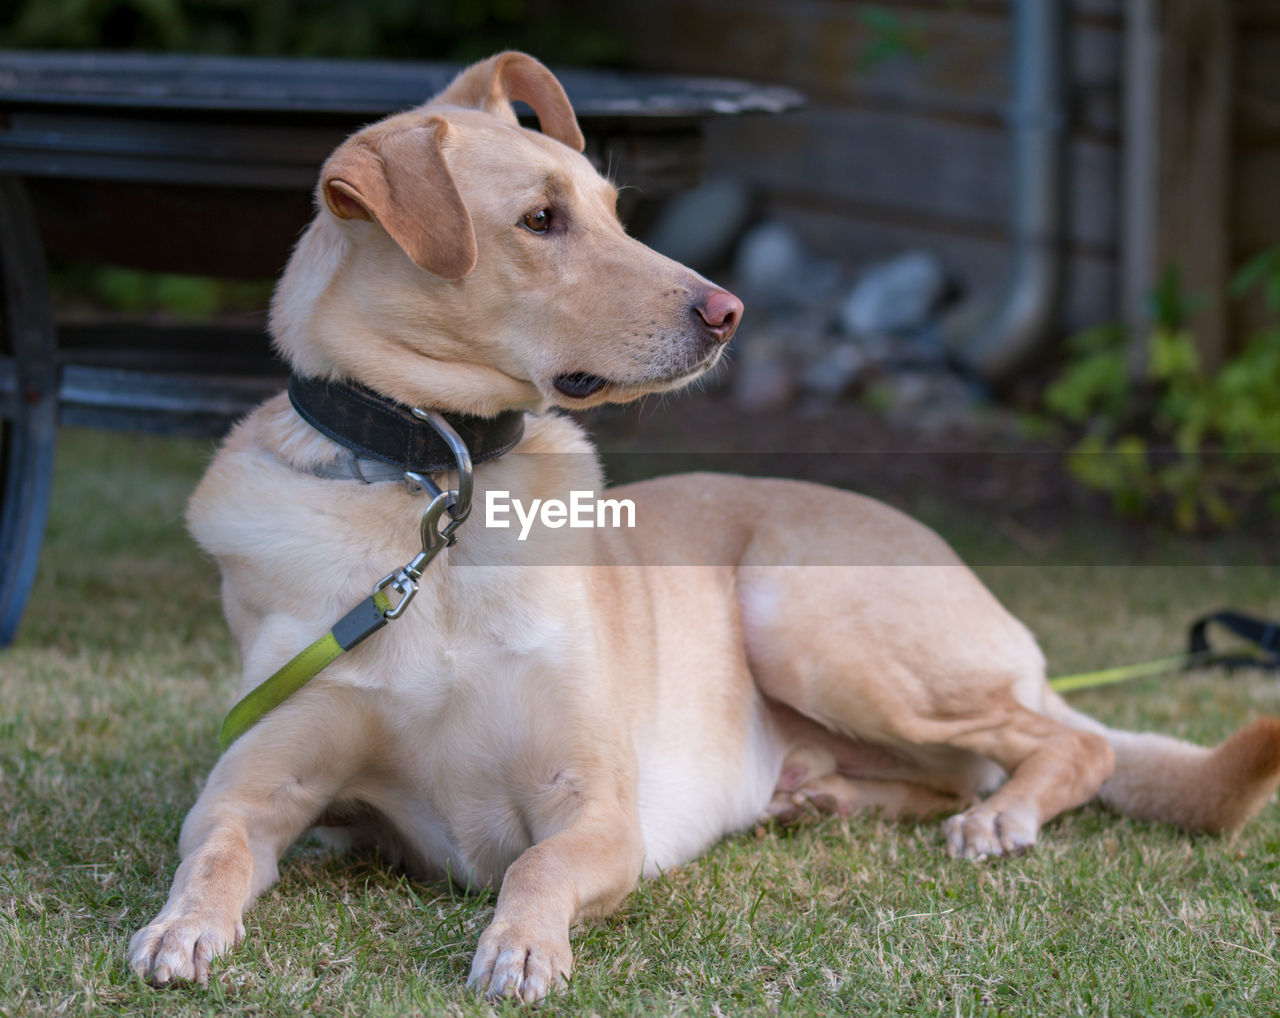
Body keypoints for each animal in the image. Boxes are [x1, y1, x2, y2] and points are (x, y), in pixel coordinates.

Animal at [127, 51, 1280, 998]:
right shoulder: (258, 780)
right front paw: (181, 926)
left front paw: (521, 945)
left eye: (612, 208)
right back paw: (824, 797)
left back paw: (1001, 816)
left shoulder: (598, 807)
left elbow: (537, 864)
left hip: (802, 617)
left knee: (1062, 746)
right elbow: (214, 846)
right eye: (540, 220)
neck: (438, 484)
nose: (729, 313)